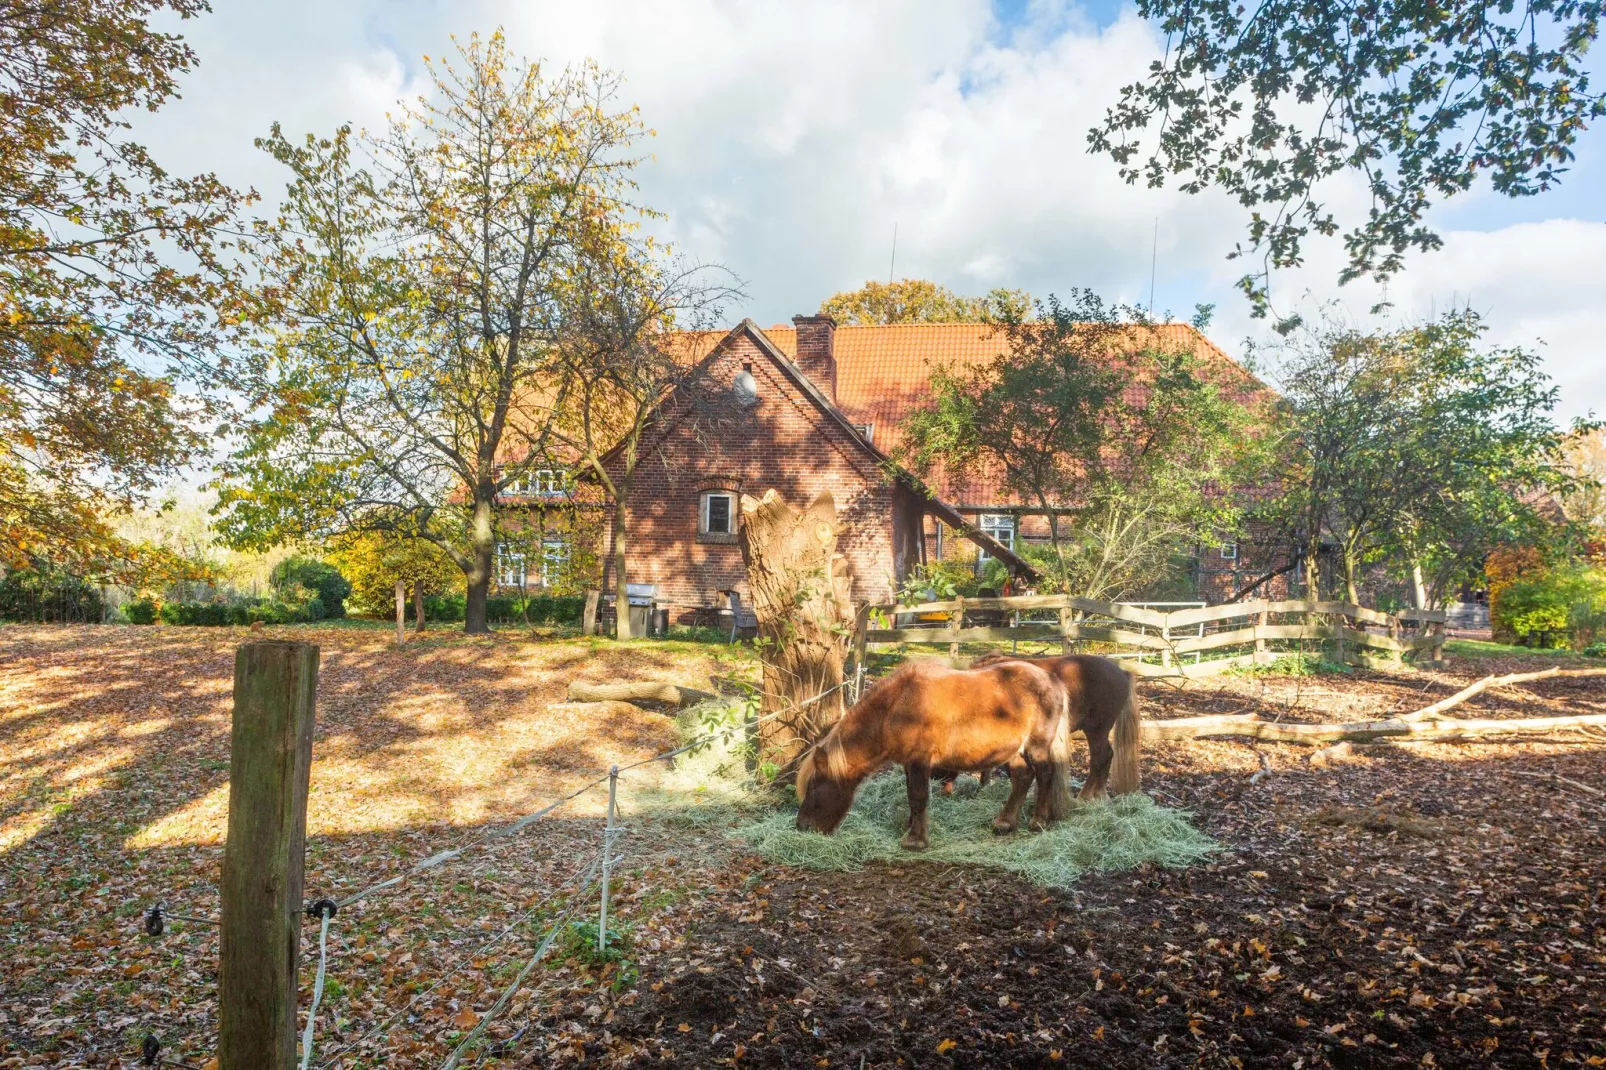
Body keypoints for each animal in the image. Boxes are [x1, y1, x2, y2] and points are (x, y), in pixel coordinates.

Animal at [790, 658, 1066, 848]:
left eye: (814, 786)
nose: (801, 826)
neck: (897, 706)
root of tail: (1052, 680)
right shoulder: (908, 764)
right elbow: (912, 797)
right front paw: (910, 828)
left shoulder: (919, 761)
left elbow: (918, 797)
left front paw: (915, 840)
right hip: (1016, 751)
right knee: (1022, 778)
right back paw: (1005, 823)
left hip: (1037, 746)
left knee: (1044, 775)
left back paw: (1038, 821)